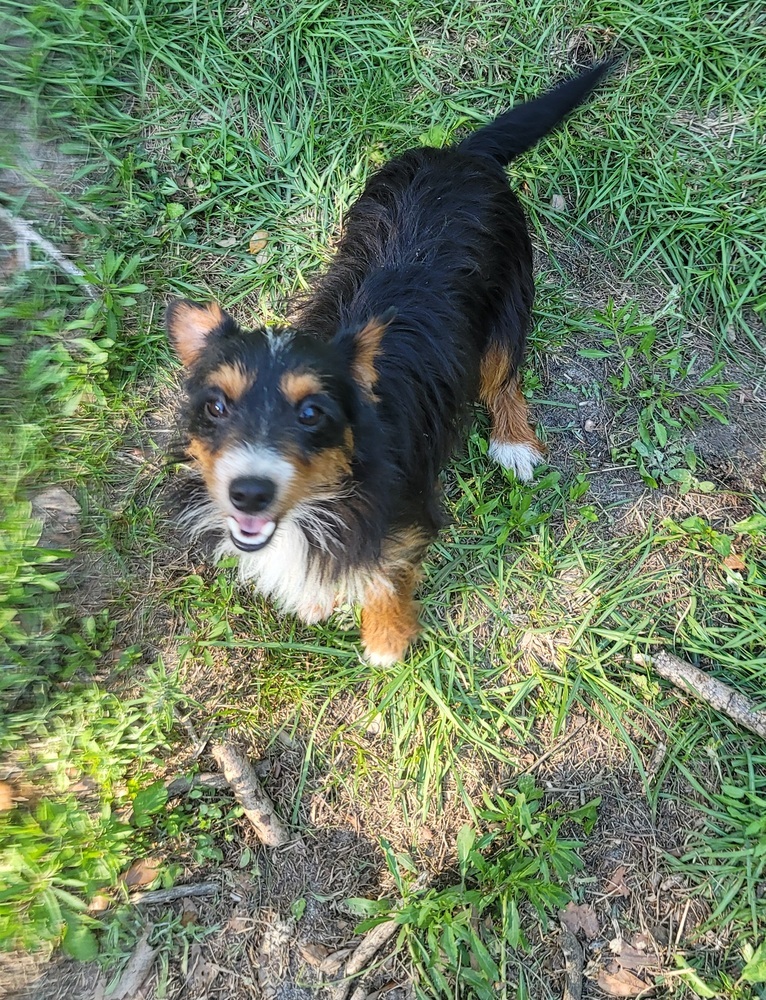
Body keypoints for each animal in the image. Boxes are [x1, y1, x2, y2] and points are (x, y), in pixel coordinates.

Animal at [168, 66, 616, 668]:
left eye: (312, 413)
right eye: (215, 406)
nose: (249, 493)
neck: (330, 488)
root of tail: (462, 155)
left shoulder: (403, 519)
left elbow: (384, 575)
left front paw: (386, 639)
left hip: (510, 304)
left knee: (504, 376)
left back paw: (514, 441)